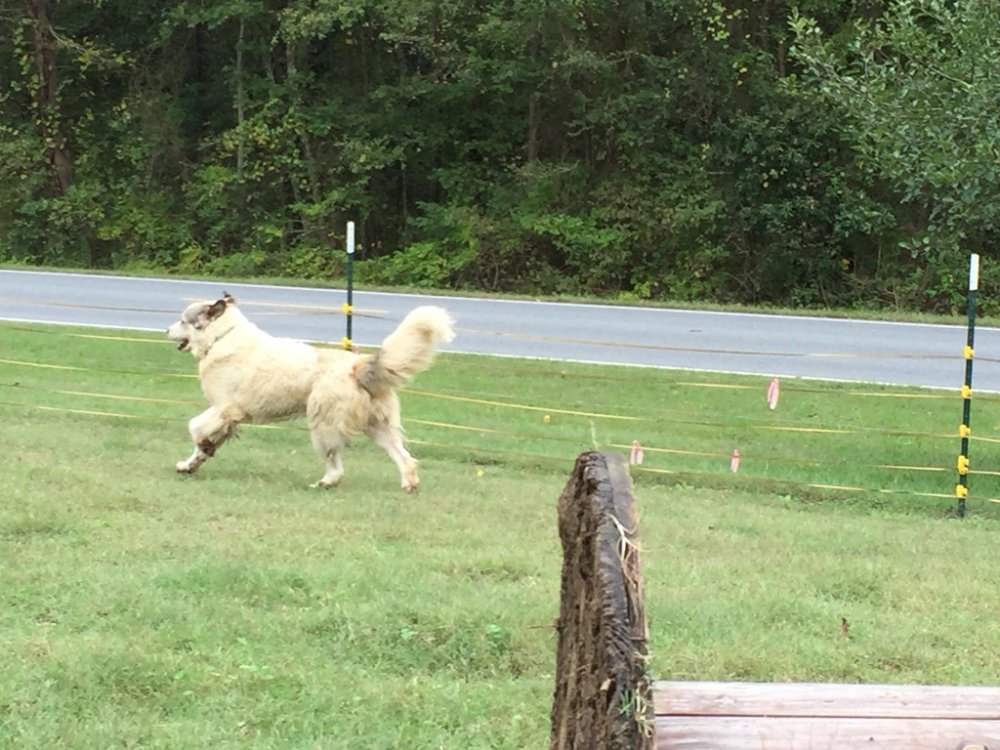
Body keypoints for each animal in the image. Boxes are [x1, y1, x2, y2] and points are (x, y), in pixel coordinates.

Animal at [166, 294, 456, 494]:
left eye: (183, 320)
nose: (166, 330)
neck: (221, 338)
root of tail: (357, 365)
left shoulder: (225, 408)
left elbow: (195, 427)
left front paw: (200, 449)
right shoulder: (225, 416)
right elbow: (203, 443)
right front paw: (190, 464)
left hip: (323, 422)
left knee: (335, 462)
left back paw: (326, 482)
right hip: (379, 427)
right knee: (404, 458)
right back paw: (409, 485)